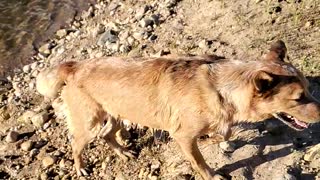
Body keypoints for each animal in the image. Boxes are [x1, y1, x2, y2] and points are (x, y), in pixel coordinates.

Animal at [36, 41, 320, 180]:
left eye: (309, 88)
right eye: (298, 98)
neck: (222, 87)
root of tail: (74, 66)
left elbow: (224, 133)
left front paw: (219, 139)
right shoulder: (182, 136)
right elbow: (200, 162)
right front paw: (212, 175)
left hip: (119, 112)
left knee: (107, 134)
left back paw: (124, 152)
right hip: (89, 122)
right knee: (76, 144)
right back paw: (80, 168)